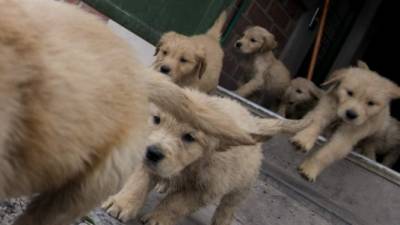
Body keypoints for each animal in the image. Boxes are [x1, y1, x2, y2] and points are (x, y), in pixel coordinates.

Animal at [102, 90, 310, 225]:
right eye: (157, 119)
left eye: (189, 137)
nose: (152, 152)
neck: (191, 165)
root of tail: (252, 121)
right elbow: (138, 183)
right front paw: (122, 204)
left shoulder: (206, 188)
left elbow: (176, 203)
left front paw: (159, 219)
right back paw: (164, 185)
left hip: (243, 184)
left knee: (228, 206)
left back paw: (221, 221)